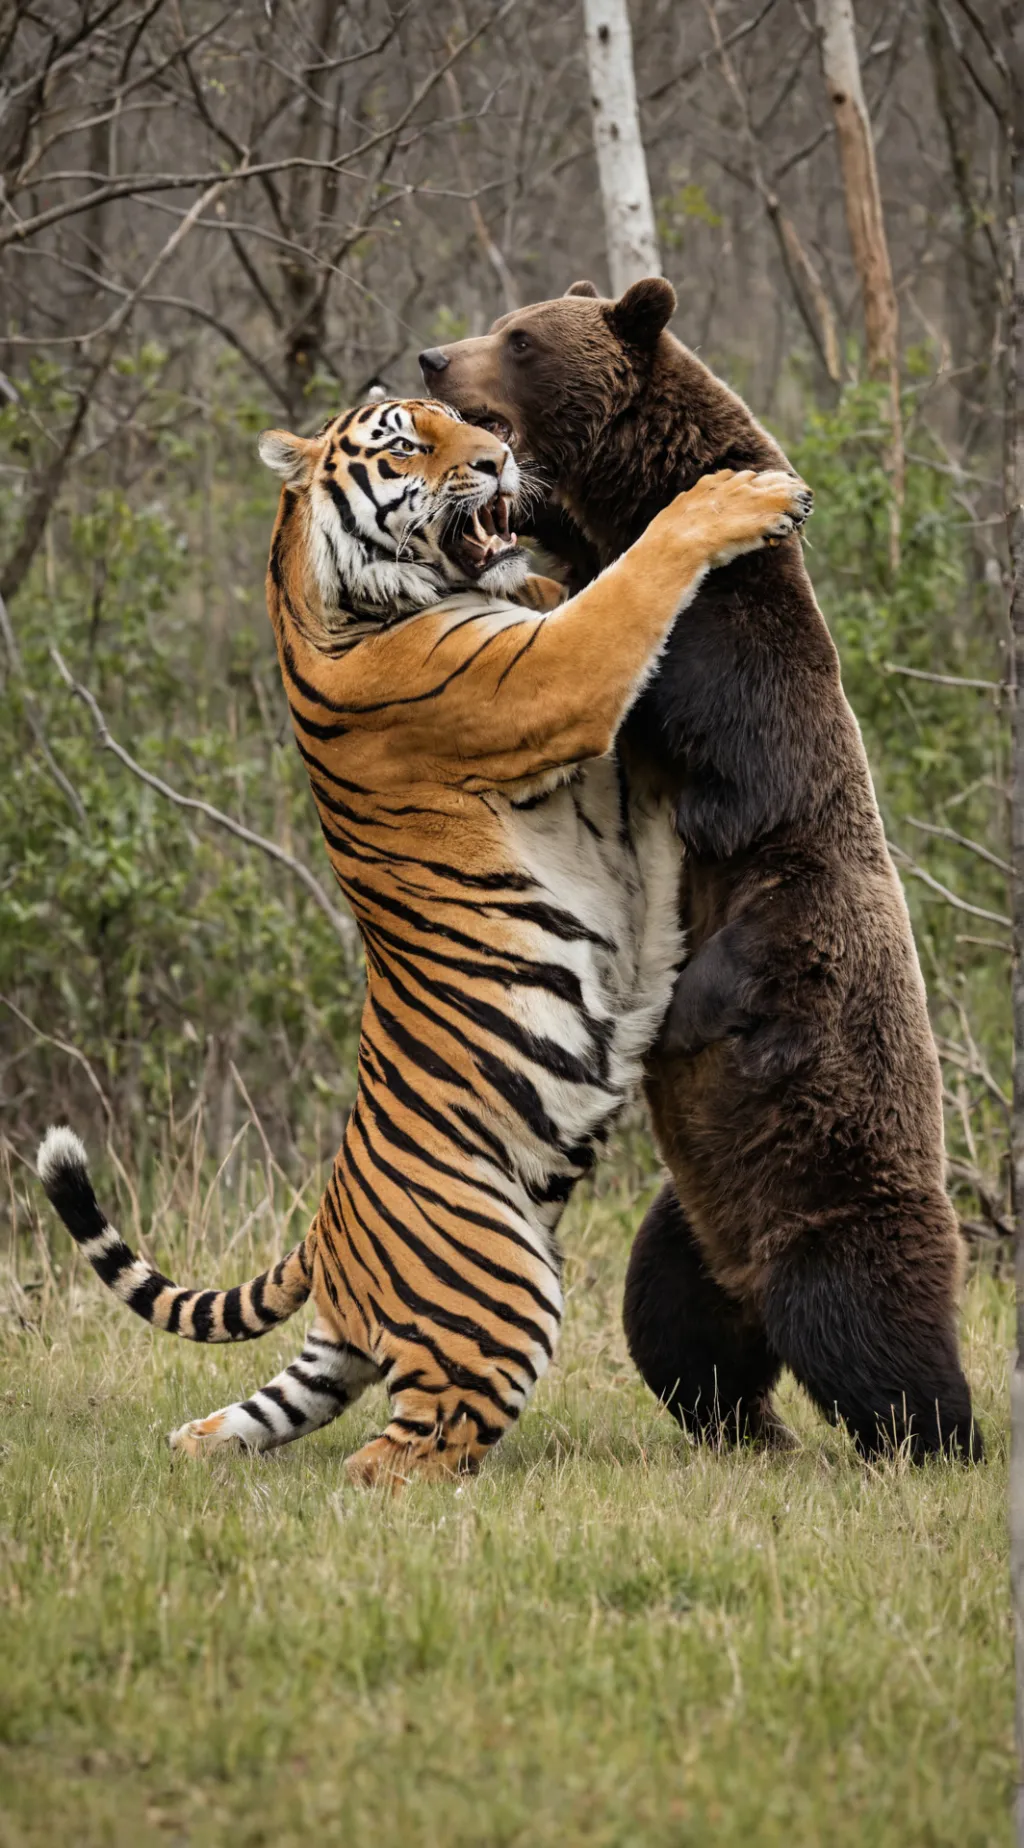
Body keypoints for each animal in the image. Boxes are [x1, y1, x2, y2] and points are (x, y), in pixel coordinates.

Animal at [37, 396, 811, 1487]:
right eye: (408, 442)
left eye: (461, 422)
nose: (499, 459)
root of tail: (328, 1233)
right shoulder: (550, 681)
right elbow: (635, 581)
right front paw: (737, 499)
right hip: (500, 1294)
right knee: (392, 1458)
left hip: (349, 1350)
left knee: (256, 1416)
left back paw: (197, 1449)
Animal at [419, 276, 982, 1462]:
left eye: (520, 338)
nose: (437, 356)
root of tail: (750, 1274)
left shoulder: (750, 709)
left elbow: (693, 725)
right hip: (687, 1221)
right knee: (675, 1330)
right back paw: (749, 1426)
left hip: (834, 1194)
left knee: (872, 1328)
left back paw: (932, 1436)